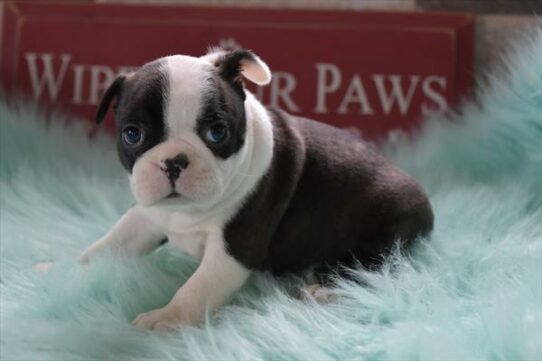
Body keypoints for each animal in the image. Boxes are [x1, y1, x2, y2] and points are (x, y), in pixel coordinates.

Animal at [78, 47, 436, 330]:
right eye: (132, 135)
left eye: (217, 132)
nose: (174, 161)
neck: (188, 211)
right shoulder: (147, 217)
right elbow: (109, 244)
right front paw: (71, 270)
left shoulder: (235, 248)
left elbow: (197, 288)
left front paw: (167, 318)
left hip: (383, 232)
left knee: (369, 267)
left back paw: (322, 289)